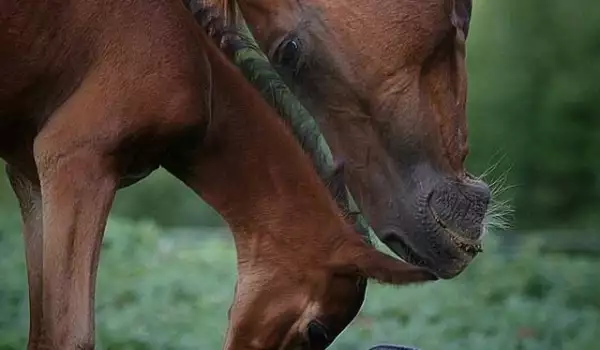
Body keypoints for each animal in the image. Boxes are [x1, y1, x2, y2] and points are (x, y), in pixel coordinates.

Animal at [2, 0, 436, 350]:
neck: (199, 65)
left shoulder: (30, 177)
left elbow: (41, 332)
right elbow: (69, 335)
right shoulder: (76, 156)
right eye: (317, 331)